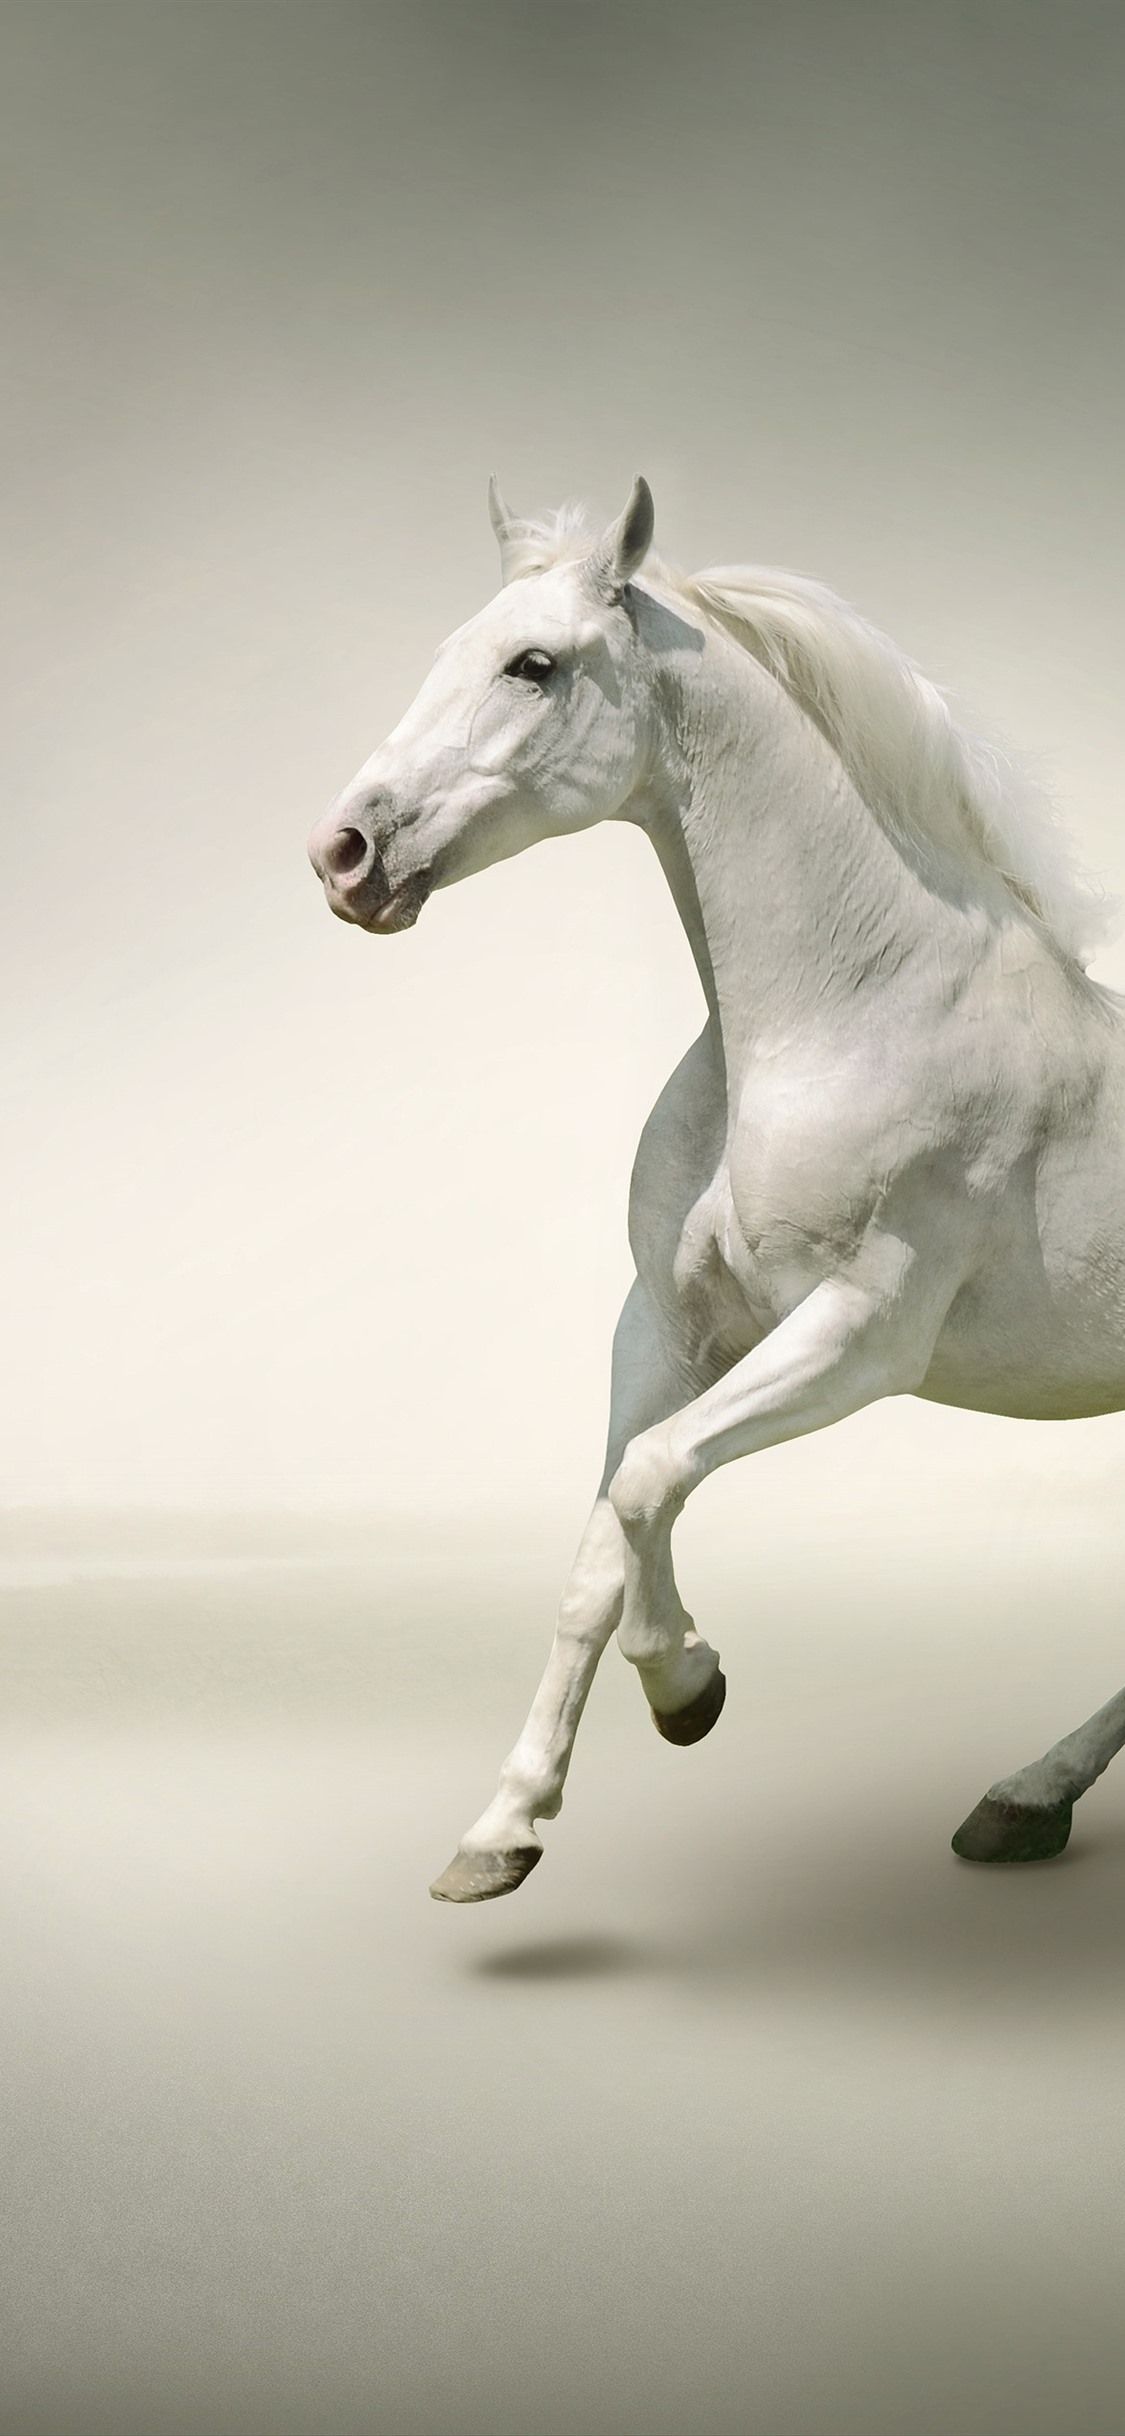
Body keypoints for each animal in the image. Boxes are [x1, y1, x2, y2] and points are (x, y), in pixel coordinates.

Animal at [308, 474, 1125, 1903]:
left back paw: (1025, 1796)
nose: (345, 854)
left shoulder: (861, 1338)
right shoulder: (665, 1325)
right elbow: (600, 1541)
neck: (848, 1009)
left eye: (534, 664)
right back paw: (1023, 1801)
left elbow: (648, 1483)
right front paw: (501, 1831)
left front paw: (689, 1686)